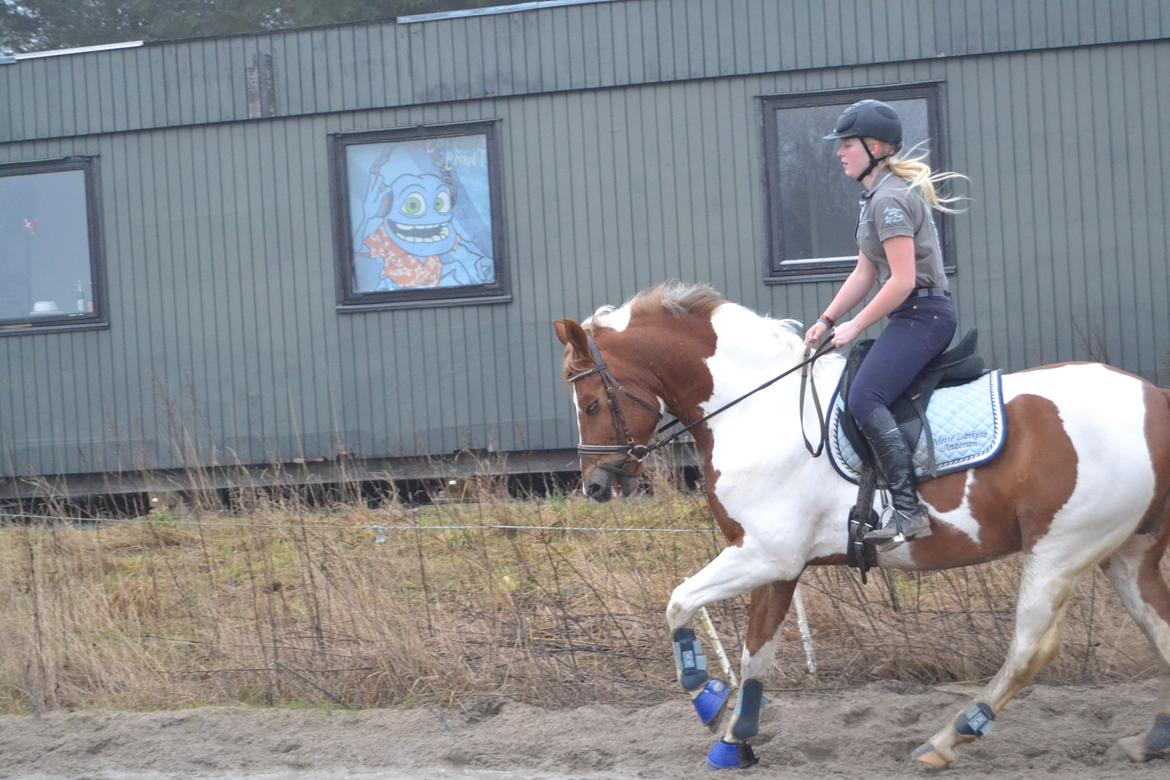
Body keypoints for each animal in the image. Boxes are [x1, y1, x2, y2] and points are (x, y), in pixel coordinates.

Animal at [552, 280, 1170, 767]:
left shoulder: (764, 554)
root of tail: (1154, 399)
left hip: (1061, 550)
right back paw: (1151, 740)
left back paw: (948, 739)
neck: (758, 410)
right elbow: (756, 653)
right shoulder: (778, 565)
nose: (595, 486)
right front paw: (736, 740)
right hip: (1126, 553)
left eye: (591, 403)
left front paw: (705, 697)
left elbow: (678, 602)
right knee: (1159, 630)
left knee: (1028, 650)